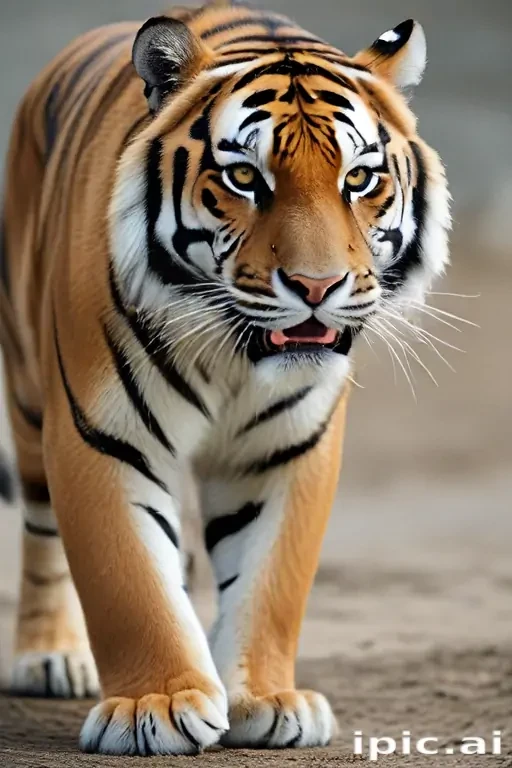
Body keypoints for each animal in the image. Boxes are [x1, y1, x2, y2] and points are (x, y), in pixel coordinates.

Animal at [0, 0, 451, 755]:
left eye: (359, 180)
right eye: (245, 179)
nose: (316, 286)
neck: (232, 357)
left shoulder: (286, 447)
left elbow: (270, 583)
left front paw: (266, 700)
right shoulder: (101, 435)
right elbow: (127, 576)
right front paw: (154, 706)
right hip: (31, 395)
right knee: (40, 532)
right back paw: (49, 656)